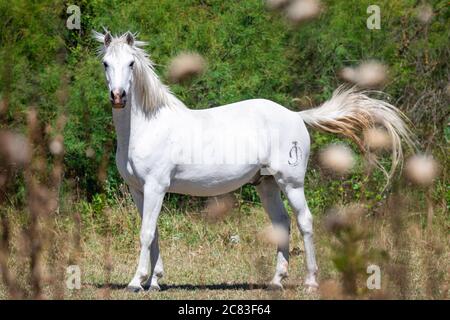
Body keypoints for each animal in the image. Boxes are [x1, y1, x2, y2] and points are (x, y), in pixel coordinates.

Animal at [92, 31, 414, 292]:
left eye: (131, 64)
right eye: (106, 63)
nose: (118, 96)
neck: (147, 127)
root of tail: (296, 116)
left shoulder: (156, 186)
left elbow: (146, 233)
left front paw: (137, 282)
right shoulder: (139, 190)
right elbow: (153, 231)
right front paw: (155, 281)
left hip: (291, 183)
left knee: (305, 221)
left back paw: (310, 282)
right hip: (266, 184)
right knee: (282, 223)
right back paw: (276, 281)